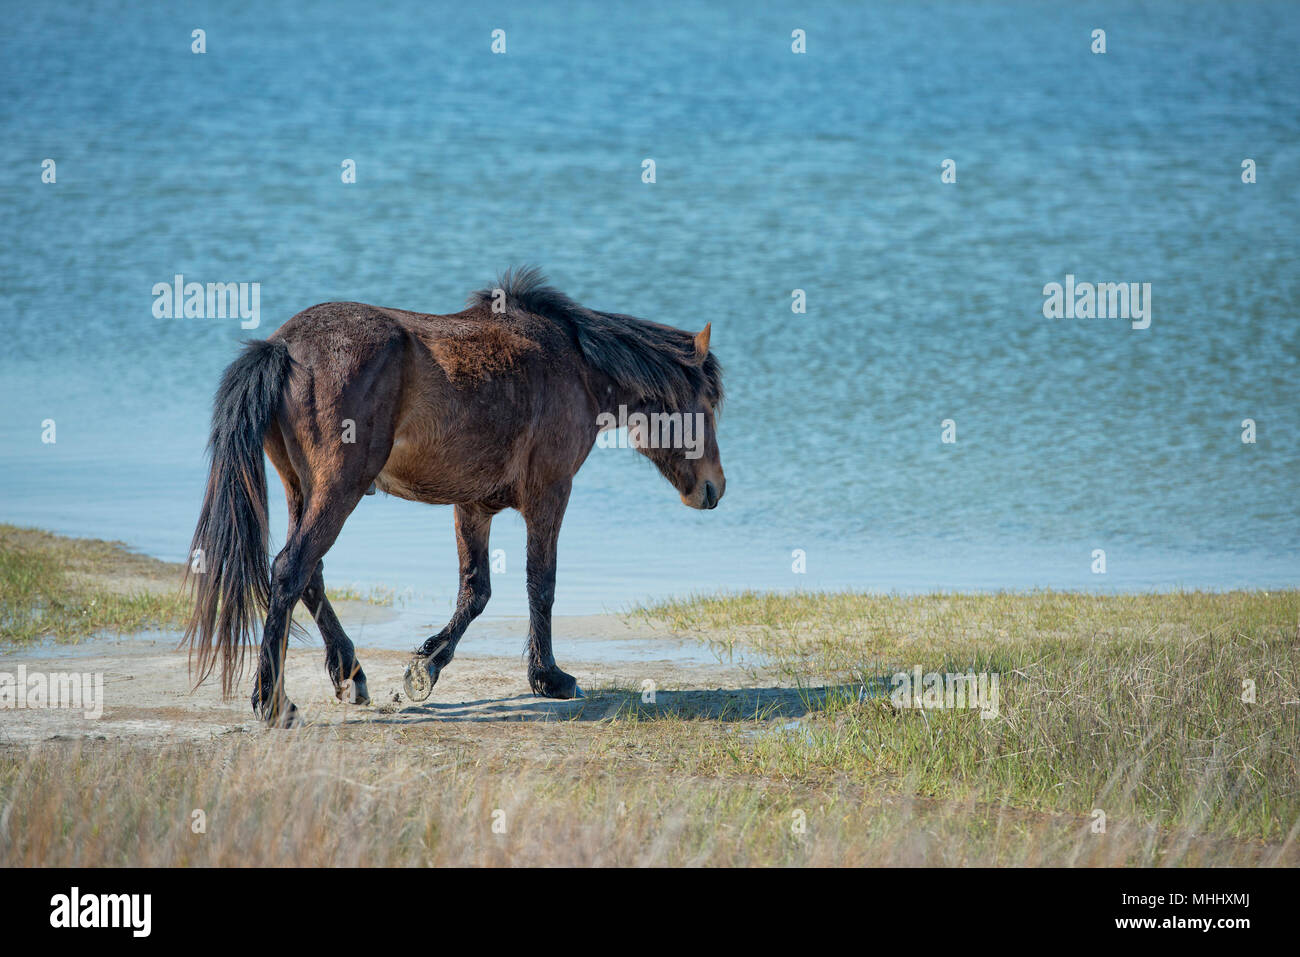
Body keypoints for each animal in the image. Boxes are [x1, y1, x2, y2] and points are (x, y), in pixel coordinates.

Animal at [183, 267, 728, 722]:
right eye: (706, 402)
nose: (714, 489)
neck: (574, 363)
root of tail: (282, 347)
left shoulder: (472, 506)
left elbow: (476, 590)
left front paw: (425, 668)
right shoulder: (550, 493)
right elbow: (541, 584)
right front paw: (549, 678)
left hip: (302, 489)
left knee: (308, 575)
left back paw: (349, 674)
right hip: (339, 488)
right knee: (290, 569)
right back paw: (274, 702)